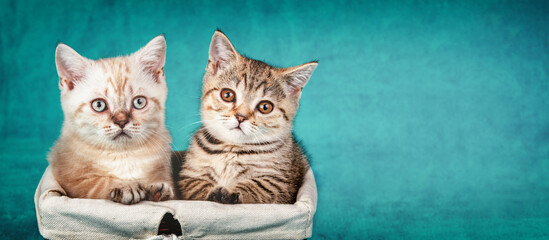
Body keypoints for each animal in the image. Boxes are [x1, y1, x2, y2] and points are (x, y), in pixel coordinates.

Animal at [49, 35, 174, 204]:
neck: (124, 155)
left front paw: (157, 187)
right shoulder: (68, 178)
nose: (121, 121)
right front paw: (125, 186)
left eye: (139, 102)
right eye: (99, 105)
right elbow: (95, 184)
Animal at [178, 31, 316, 203]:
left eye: (265, 107)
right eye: (227, 95)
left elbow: (258, 187)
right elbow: (196, 187)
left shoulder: (281, 183)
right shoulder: (188, 177)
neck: (232, 149)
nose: (240, 117)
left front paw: (231, 193)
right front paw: (214, 193)